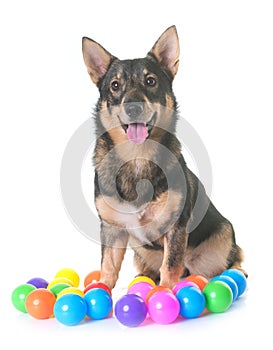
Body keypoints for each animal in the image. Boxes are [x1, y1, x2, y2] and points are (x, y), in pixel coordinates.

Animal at [82, 26, 245, 290]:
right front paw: (101, 288)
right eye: (115, 85)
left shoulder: (176, 228)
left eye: (150, 81)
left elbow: (170, 266)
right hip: (141, 250)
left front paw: (165, 292)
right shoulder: (112, 228)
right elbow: (108, 264)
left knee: (232, 259)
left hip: (222, 237)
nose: (133, 108)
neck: (136, 157)